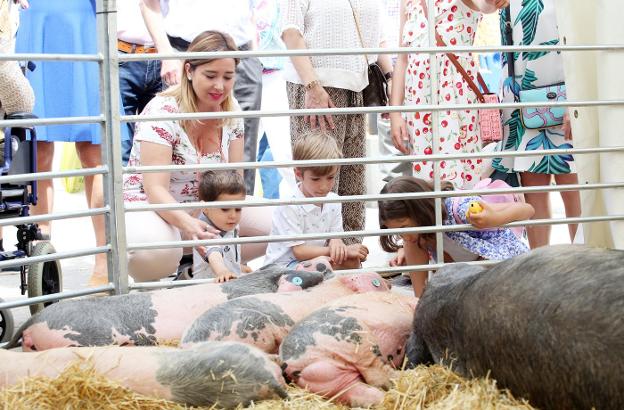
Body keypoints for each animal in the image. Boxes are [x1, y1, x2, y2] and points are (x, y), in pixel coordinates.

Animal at [280, 292, 416, 406]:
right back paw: (405, 379)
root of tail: (288, 363)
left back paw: (391, 398)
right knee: (377, 375)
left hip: (328, 381)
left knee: (361, 392)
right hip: (358, 339)